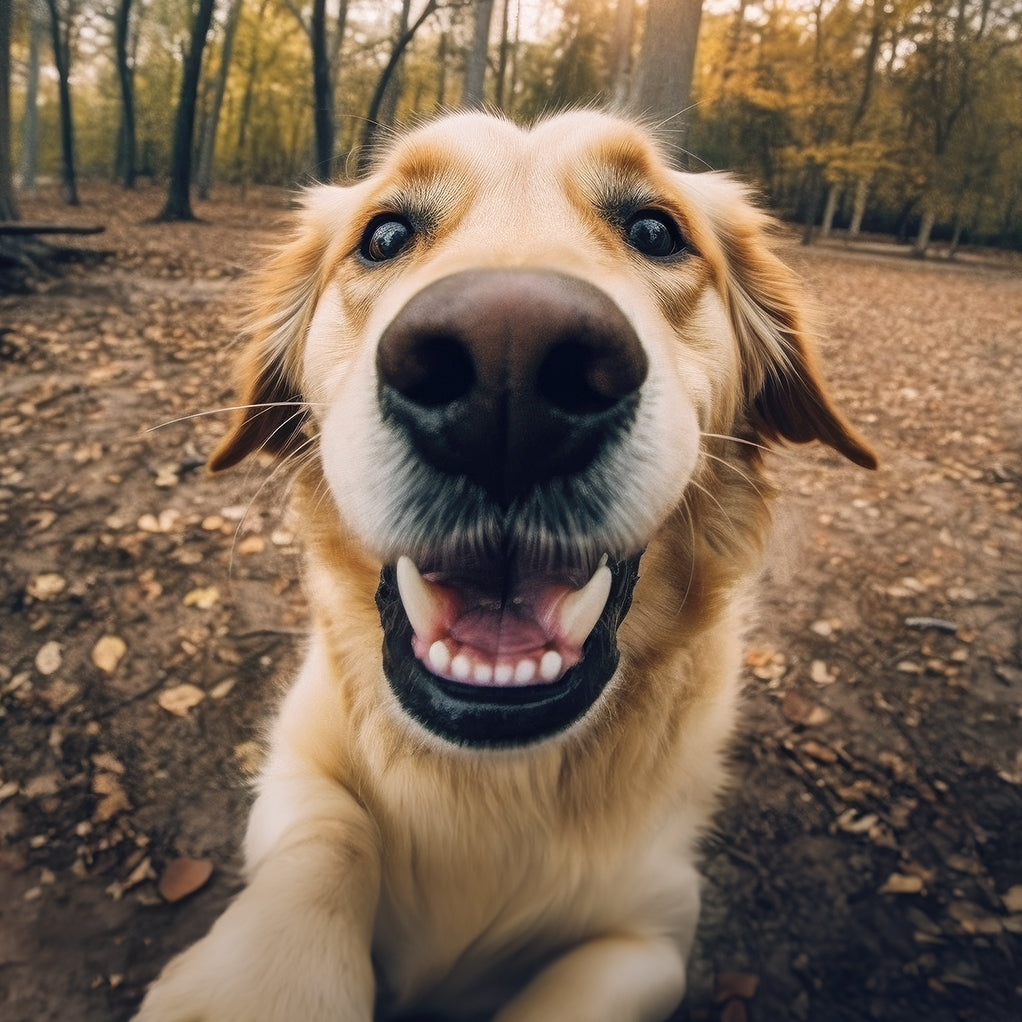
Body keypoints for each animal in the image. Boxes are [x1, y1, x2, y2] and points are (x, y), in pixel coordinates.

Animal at [131, 111, 874, 1021]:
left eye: (655, 231)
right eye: (385, 235)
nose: (508, 361)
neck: (491, 774)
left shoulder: (652, 938)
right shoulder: (297, 764)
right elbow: (332, 836)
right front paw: (263, 983)